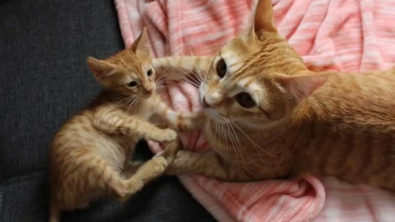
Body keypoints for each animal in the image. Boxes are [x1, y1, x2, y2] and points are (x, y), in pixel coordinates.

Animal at [48, 29, 192, 222]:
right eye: (132, 84)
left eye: (149, 72)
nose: (149, 89)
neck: (139, 101)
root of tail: (56, 195)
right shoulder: (105, 115)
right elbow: (139, 123)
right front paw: (164, 134)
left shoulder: (156, 111)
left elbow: (173, 118)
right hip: (90, 163)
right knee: (122, 191)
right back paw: (156, 163)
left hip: (118, 166)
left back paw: (166, 155)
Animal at [153, 0, 395, 192]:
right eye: (221, 68)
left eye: (246, 100)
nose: (206, 101)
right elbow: (186, 64)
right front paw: (150, 69)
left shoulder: (245, 172)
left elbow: (199, 161)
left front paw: (170, 160)